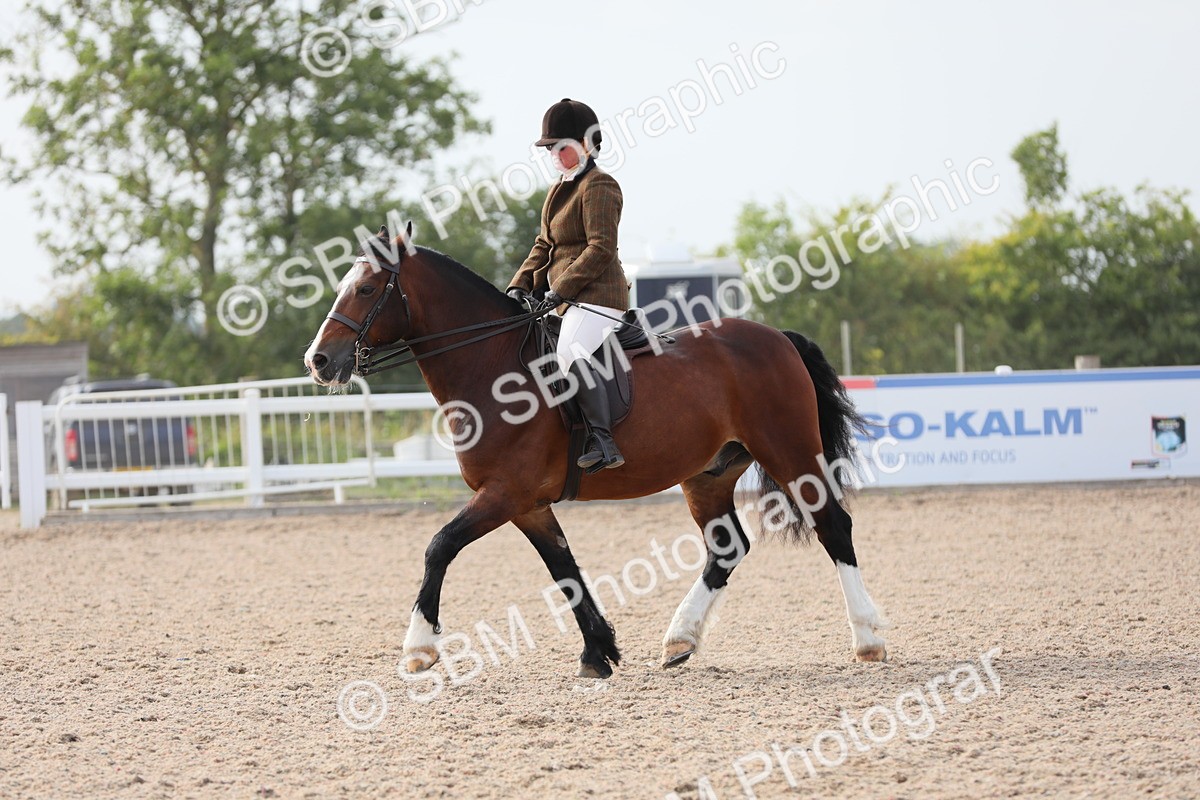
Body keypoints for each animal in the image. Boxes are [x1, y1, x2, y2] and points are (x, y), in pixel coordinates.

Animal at [303, 225, 888, 679]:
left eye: (367, 288)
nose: (318, 360)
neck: (490, 365)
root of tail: (778, 337)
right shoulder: (528, 505)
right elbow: (564, 569)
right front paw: (598, 651)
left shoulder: (504, 494)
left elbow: (439, 546)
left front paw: (419, 648)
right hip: (708, 475)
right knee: (726, 550)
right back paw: (680, 640)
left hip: (790, 453)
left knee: (833, 526)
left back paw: (868, 639)